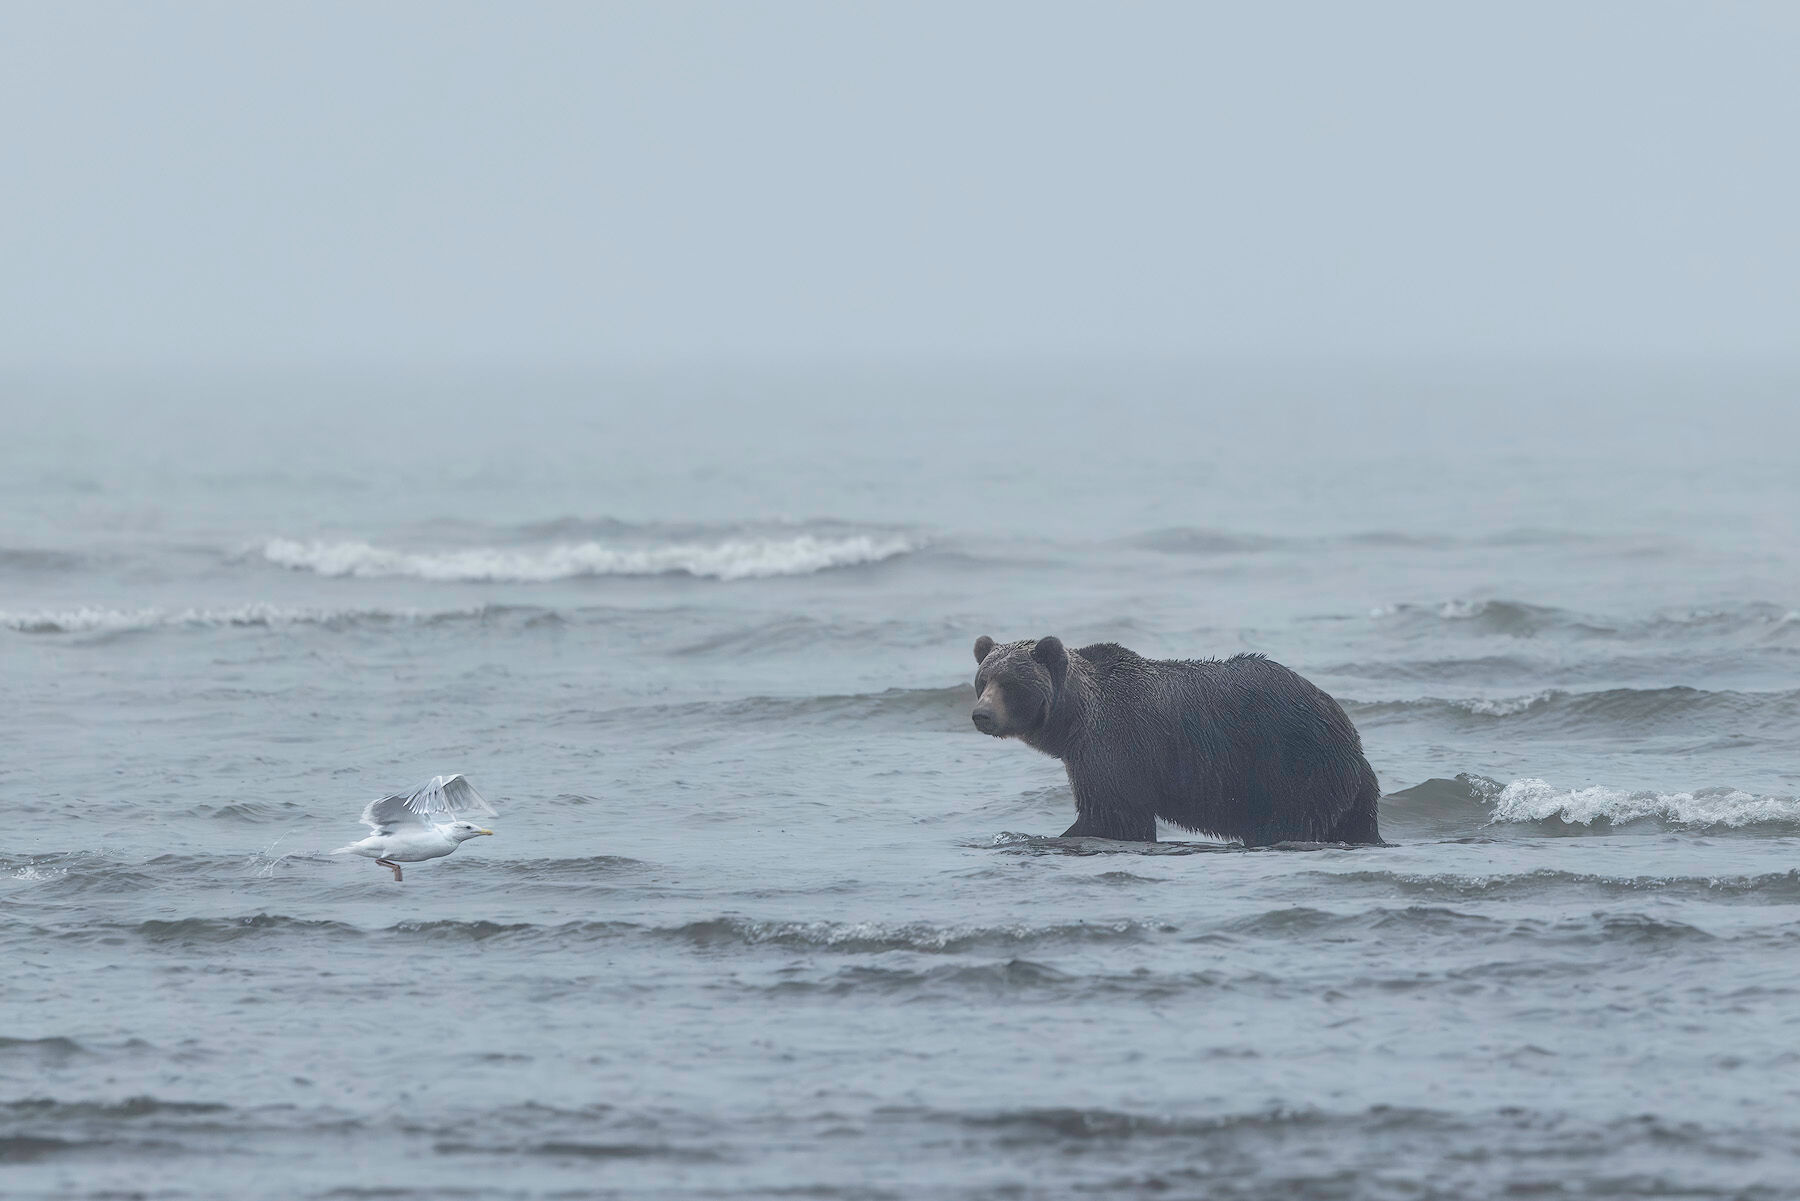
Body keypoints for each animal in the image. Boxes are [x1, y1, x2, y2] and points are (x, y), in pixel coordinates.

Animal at [970, 635, 1382, 846]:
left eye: (1010, 683)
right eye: (983, 679)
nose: (981, 715)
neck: (1074, 722)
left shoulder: (1113, 749)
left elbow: (1112, 816)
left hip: (1290, 767)